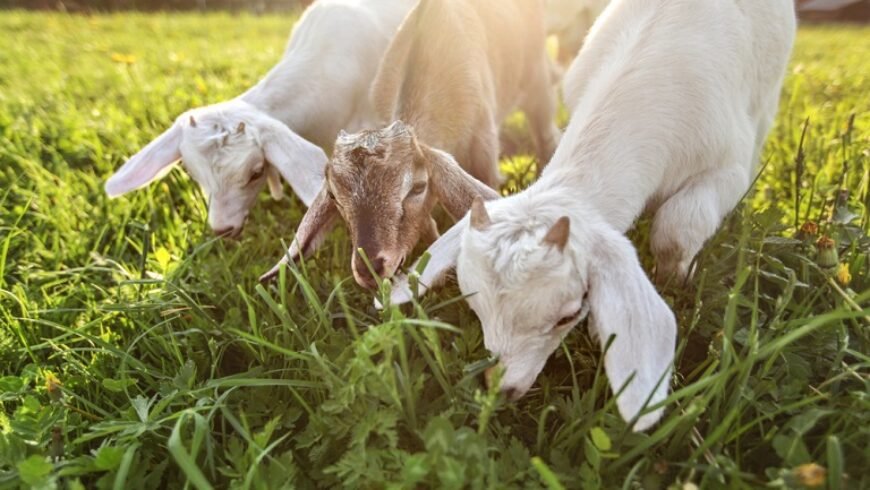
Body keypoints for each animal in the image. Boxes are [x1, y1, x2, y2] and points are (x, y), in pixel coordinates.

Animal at [258, 0, 564, 288]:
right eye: (334, 196)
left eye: (417, 187)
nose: (370, 269)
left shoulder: (484, 142)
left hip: (537, 79)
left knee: (544, 133)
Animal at [388, 0, 796, 430]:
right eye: (474, 305)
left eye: (568, 315)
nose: (502, 389)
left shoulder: (728, 166)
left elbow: (676, 230)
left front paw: (680, 281)